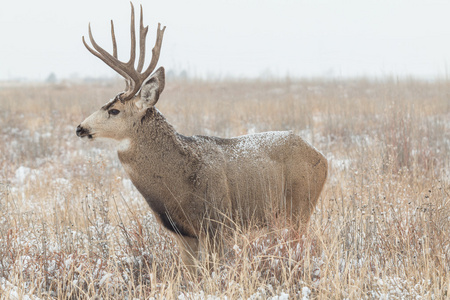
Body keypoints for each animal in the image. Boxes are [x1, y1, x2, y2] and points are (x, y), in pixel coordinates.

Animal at [76, 4, 326, 272]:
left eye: (114, 110)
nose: (80, 128)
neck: (178, 180)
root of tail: (322, 157)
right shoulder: (183, 234)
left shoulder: (218, 222)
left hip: (300, 207)